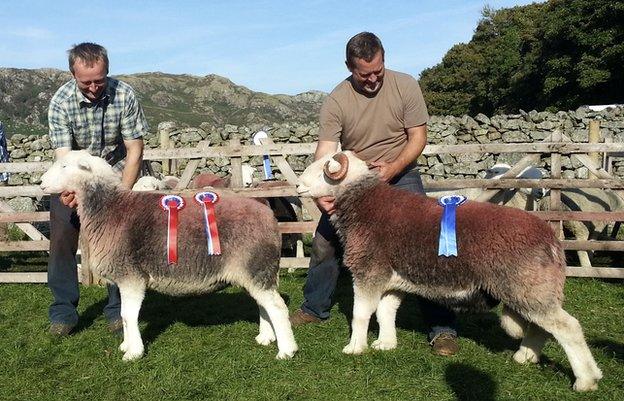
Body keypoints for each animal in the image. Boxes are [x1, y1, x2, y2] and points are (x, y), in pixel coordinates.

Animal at [40, 150, 298, 360]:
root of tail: (268, 215)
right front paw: (126, 345)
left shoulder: (131, 276)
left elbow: (128, 315)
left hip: (256, 266)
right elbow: (123, 315)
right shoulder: (124, 279)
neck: (108, 208)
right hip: (253, 270)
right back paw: (266, 337)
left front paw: (133, 353)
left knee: (277, 307)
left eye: (65, 166)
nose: (41, 183)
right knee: (264, 304)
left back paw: (286, 350)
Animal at [296, 150, 600, 390]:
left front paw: (355, 347)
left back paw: (586, 380)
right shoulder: (392, 280)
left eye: (324, 169)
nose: (298, 185)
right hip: (530, 291)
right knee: (541, 328)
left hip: (528, 287)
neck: (363, 205)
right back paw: (524, 357)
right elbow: (385, 312)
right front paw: (385, 344)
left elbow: (361, 314)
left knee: (567, 328)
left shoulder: (368, 272)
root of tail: (551, 239)